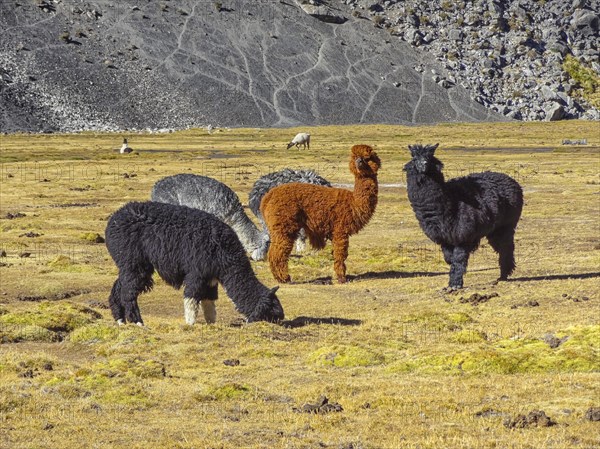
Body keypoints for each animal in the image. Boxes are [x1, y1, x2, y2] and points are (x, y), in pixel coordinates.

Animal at [105, 201, 284, 324]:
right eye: (273, 311)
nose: (282, 317)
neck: (224, 252)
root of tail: (112, 222)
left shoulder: (211, 278)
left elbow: (209, 301)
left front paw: (211, 323)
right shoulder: (197, 271)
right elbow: (192, 297)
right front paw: (190, 323)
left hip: (130, 264)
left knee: (119, 287)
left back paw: (120, 320)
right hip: (135, 262)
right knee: (128, 292)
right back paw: (138, 322)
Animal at [262, 144, 380, 284]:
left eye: (367, 158)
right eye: (355, 157)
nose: (359, 162)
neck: (353, 202)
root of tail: (268, 197)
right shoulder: (340, 230)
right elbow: (340, 255)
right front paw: (341, 278)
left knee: (273, 251)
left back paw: (279, 277)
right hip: (284, 224)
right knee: (278, 252)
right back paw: (284, 278)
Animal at [404, 144, 524, 290]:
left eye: (429, 157)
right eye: (415, 158)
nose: (424, 164)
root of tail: (512, 181)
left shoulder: (463, 234)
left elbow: (458, 259)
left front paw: (455, 284)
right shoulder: (445, 238)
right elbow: (449, 259)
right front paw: (453, 281)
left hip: (507, 224)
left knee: (506, 247)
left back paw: (504, 275)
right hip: (495, 229)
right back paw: (504, 274)